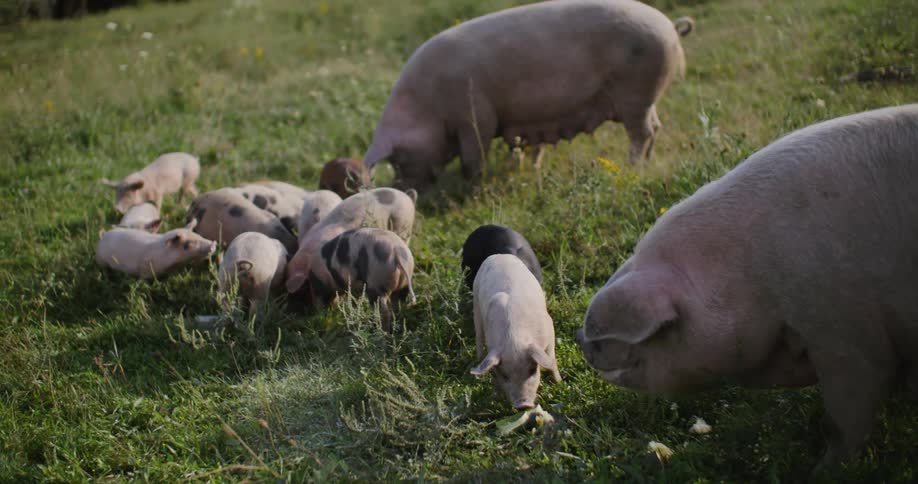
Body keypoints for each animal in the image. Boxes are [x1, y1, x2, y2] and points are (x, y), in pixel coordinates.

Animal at [362, 0, 693, 189]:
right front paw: (521, 167)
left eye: (397, 159)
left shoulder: (475, 116)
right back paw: (648, 164)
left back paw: (632, 167)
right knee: (656, 127)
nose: (401, 188)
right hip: (646, 96)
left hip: (635, 90)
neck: (428, 106)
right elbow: (519, 146)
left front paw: (472, 185)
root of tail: (670, 26)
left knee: (642, 132)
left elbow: (474, 155)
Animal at [471, 254, 560, 410]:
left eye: (532, 370)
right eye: (505, 376)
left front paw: (559, 382)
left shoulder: (549, 328)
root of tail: (498, 255)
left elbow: (551, 357)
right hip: (476, 302)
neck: (513, 339)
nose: (523, 405)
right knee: (479, 336)